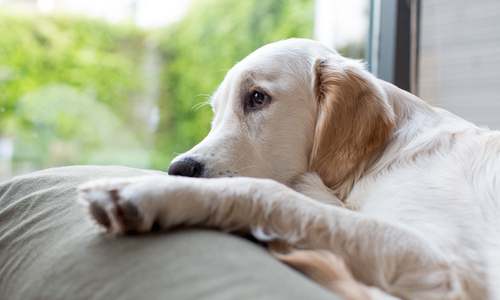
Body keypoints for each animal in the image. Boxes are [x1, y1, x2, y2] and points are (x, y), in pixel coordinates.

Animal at [79, 38, 500, 298]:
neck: (385, 155)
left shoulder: (446, 265)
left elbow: (268, 192)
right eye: (215, 113)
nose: (177, 169)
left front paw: (151, 193)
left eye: (257, 98)